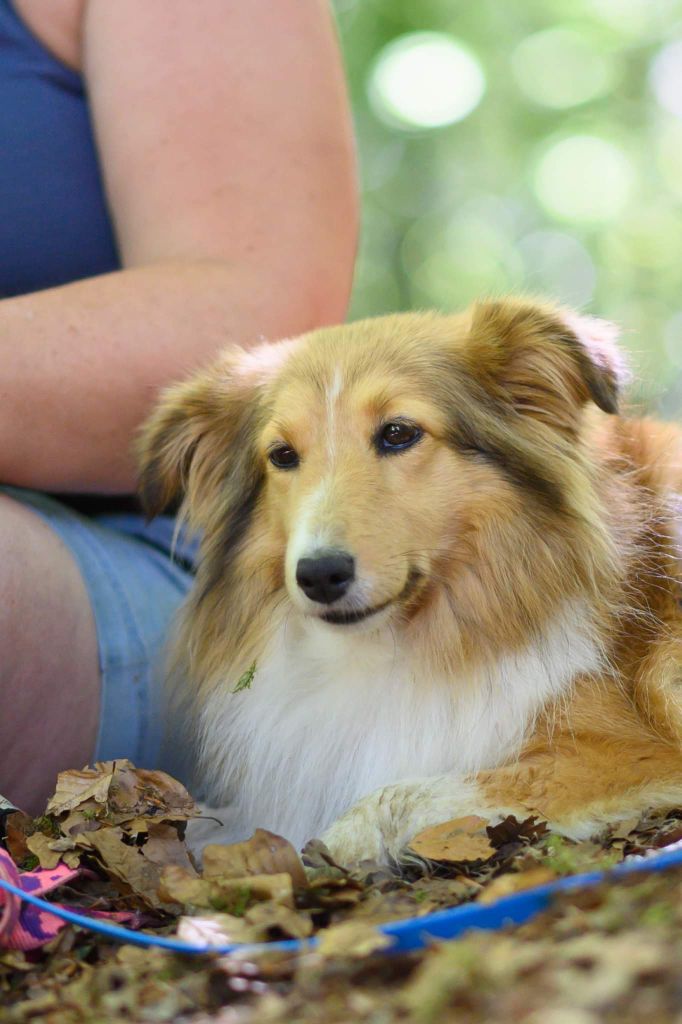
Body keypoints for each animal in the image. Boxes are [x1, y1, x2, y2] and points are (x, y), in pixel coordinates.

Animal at [137, 299, 679, 864]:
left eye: (398, 433)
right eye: (282, 455)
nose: (319, 575)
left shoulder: (619, 752)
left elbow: (401, 793)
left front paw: (335, 844)